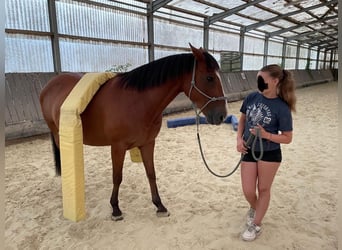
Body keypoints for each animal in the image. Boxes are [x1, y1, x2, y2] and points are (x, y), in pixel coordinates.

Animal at [39, 44, 227, 220]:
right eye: (209, 78)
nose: (222, 115)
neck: (137, 102)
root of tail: (50, 85)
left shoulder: (148, 143)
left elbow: (151, 174)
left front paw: (159, 206)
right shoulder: (117, 147)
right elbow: (117, 177)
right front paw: (115, 209)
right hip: (59, 136)